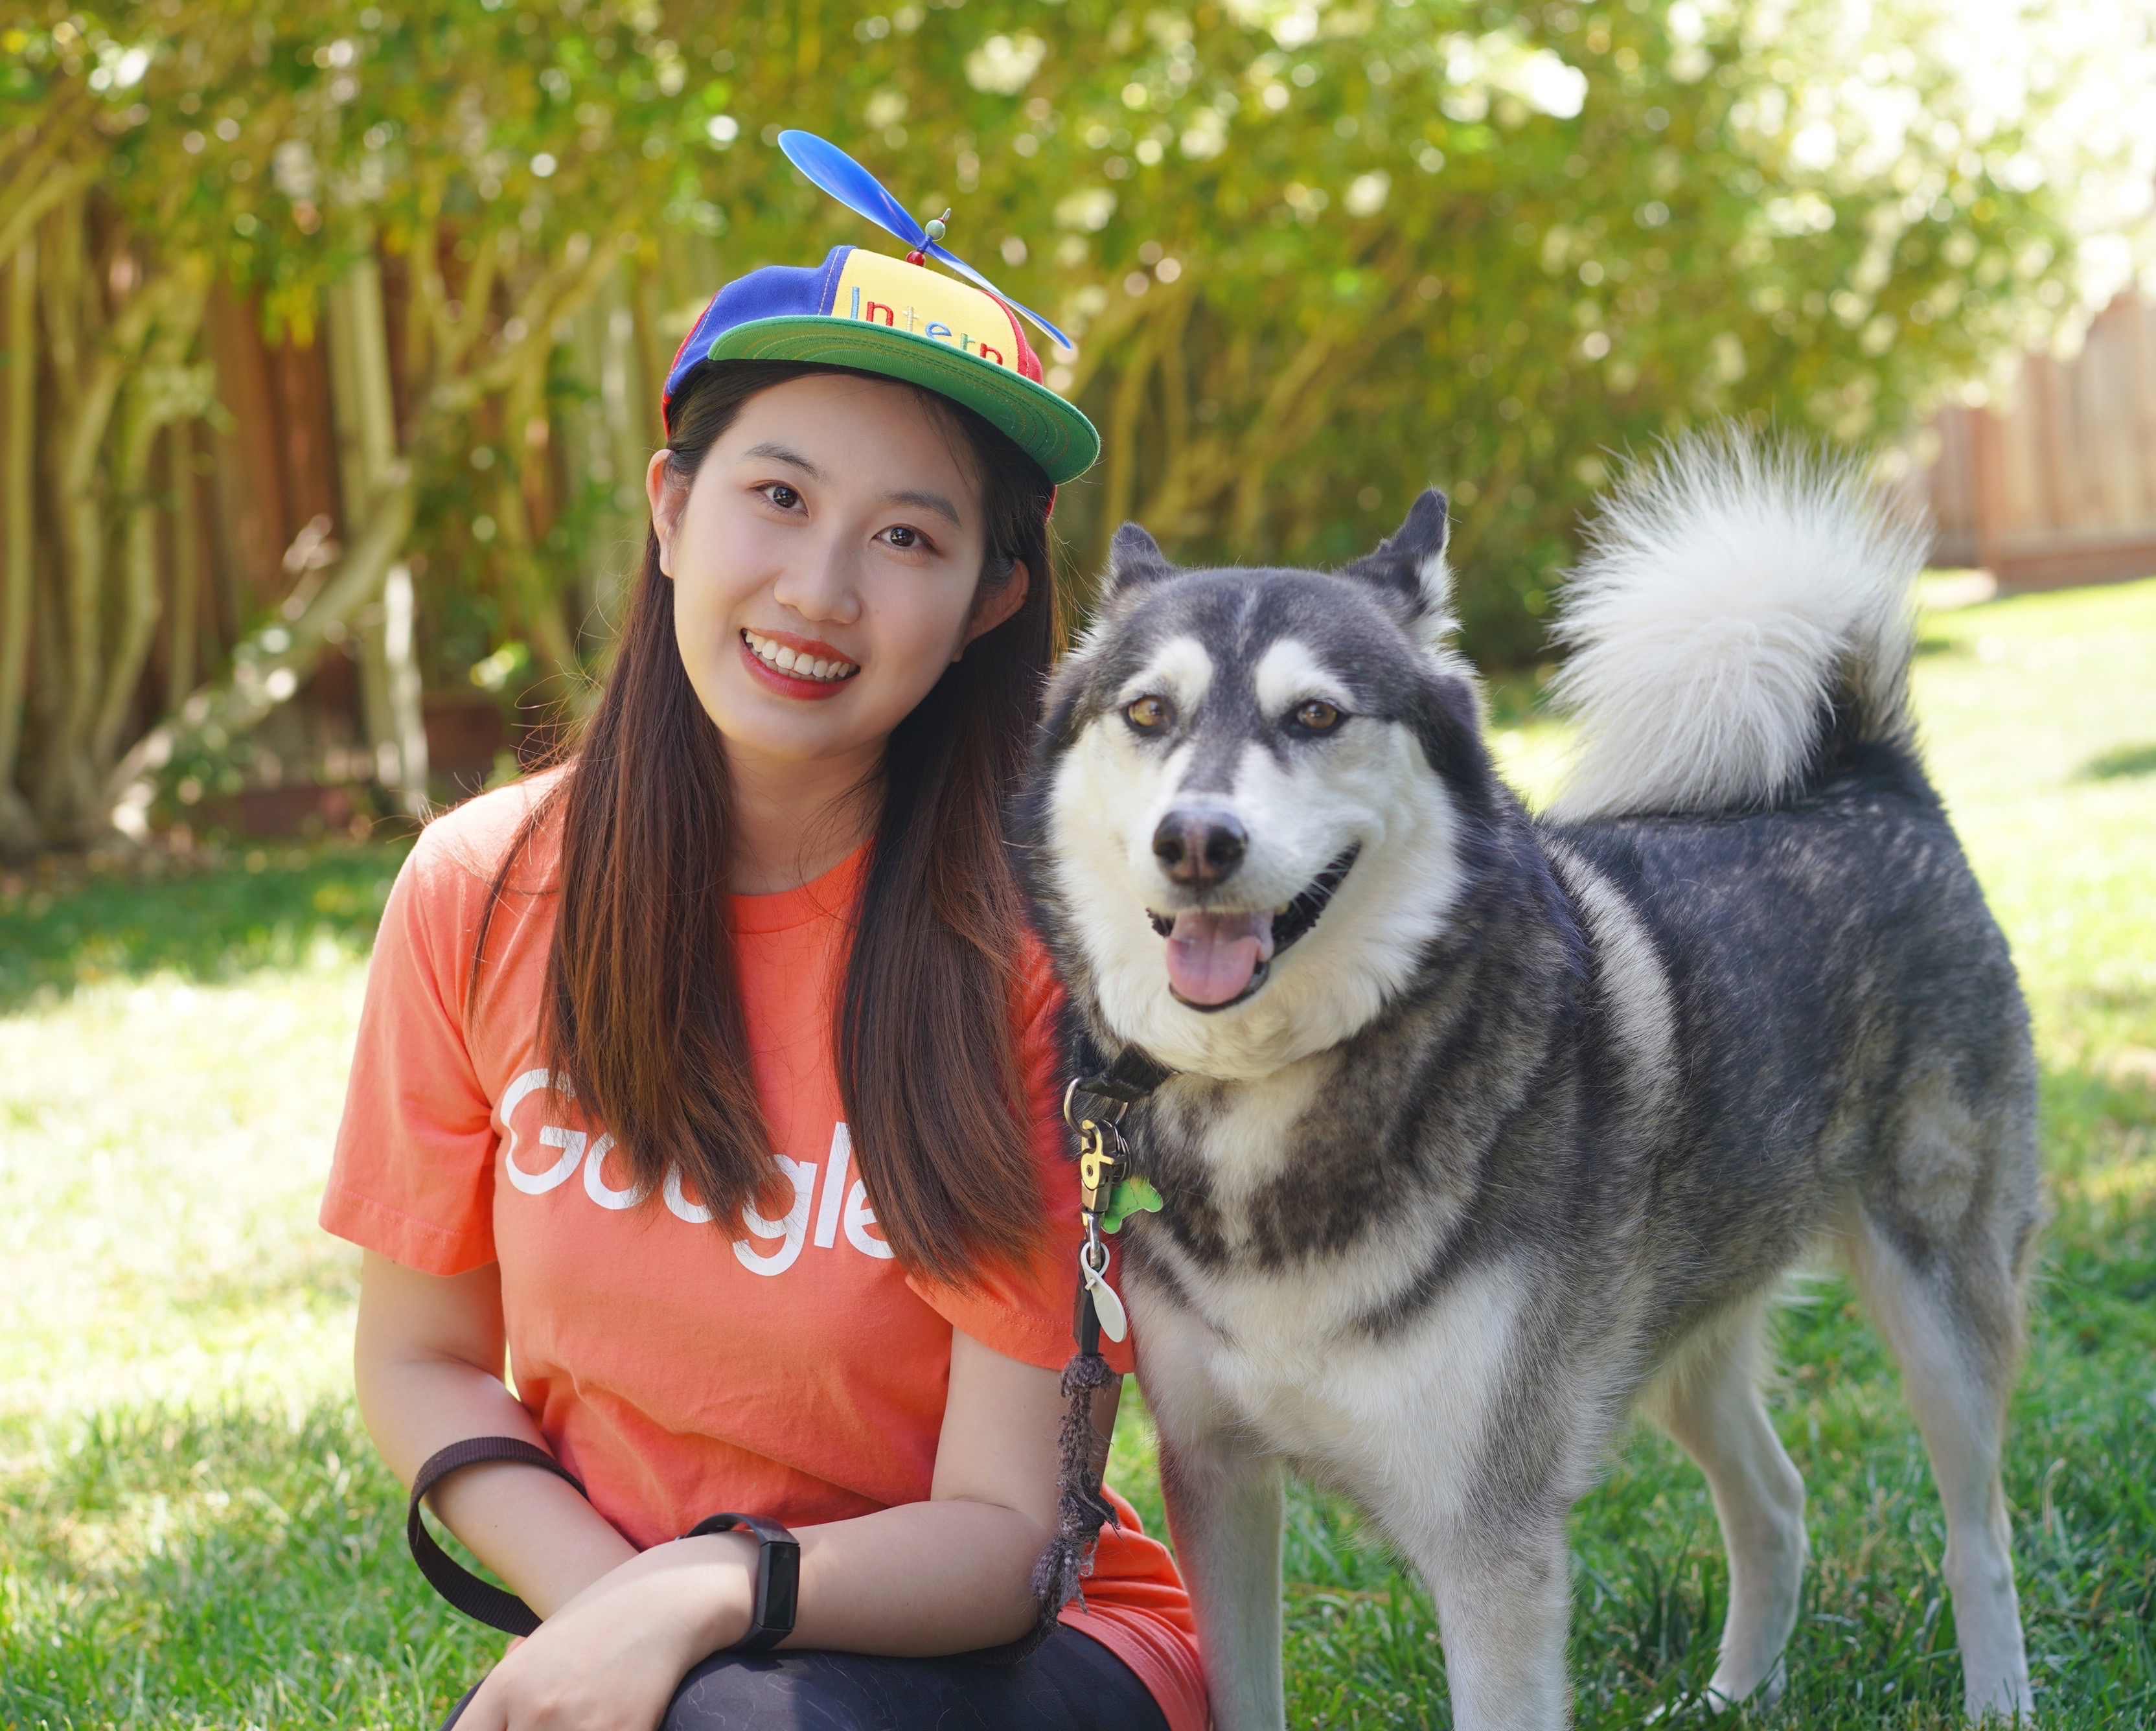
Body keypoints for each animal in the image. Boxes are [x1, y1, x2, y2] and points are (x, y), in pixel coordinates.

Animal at [1022, 437, 2035, 1731]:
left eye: (1316, 714)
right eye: (1149, 711)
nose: (1195, 840)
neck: (1275, 1084)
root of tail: (1867, 776)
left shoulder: (1488, 1538)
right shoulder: (1217, 1477)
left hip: (1938, 1300)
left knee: (1979, 1534)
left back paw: (1997, 1698)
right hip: (1673, 1334)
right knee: (1776, 1500)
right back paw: (1731, 1696)